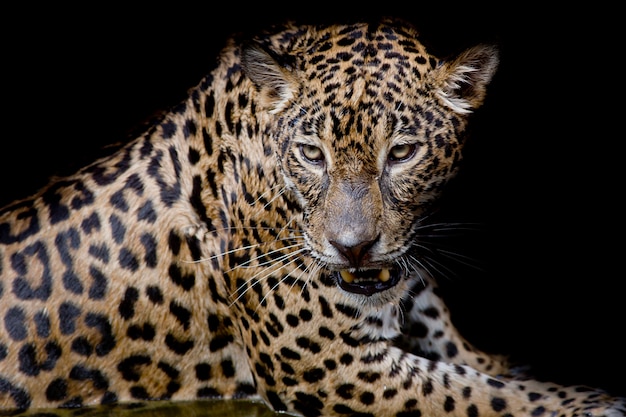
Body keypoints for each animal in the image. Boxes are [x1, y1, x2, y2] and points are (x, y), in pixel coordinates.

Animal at [1, 16, 624, 416]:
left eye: (402, 153)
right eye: (311, 154)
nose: (352, 247)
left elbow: (488, 370)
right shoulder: (326, 365)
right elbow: (483, 395)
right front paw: (592, 403)